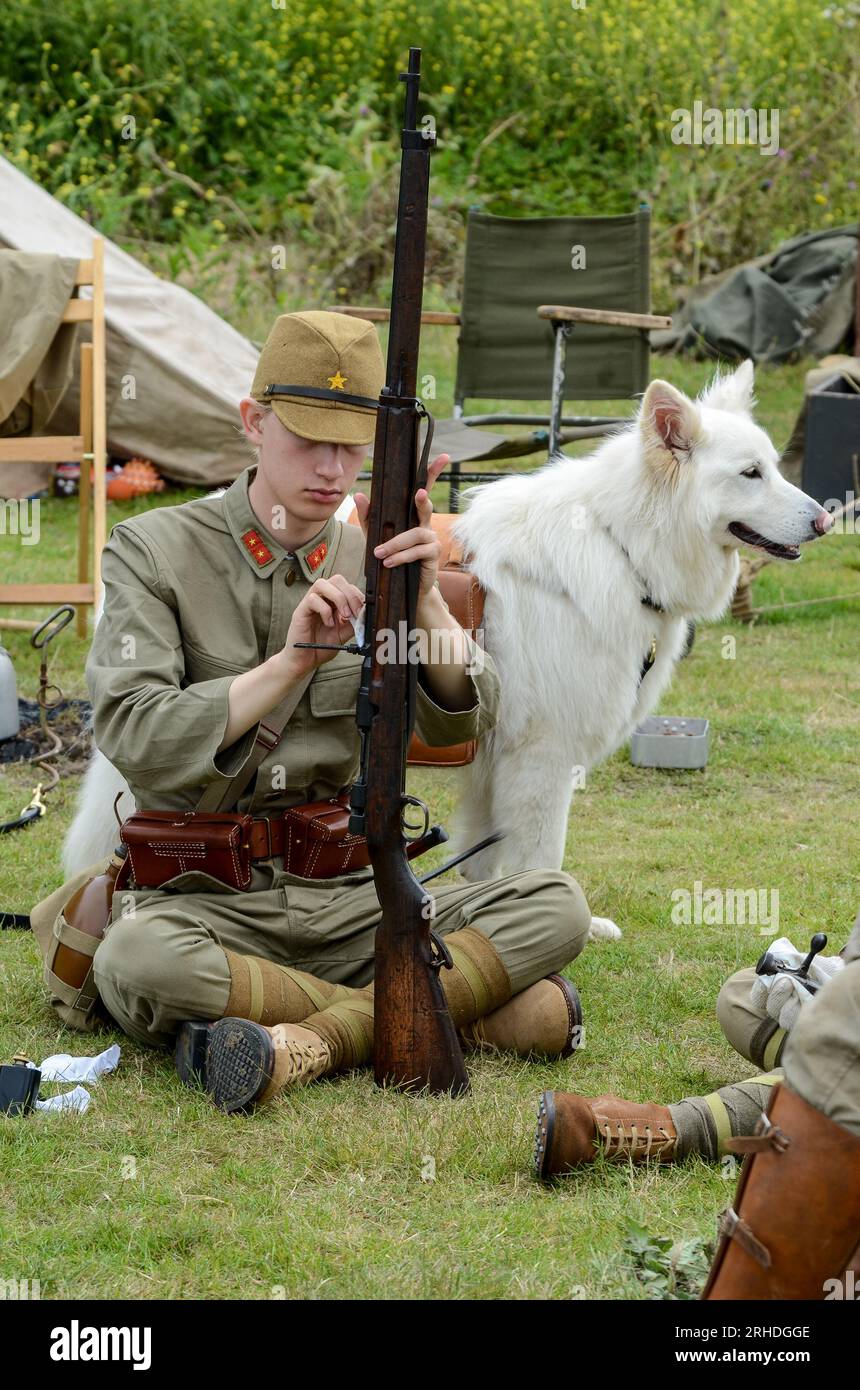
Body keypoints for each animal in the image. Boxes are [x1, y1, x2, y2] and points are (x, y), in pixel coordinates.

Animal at [450, 361, 833, 878]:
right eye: (751, 473)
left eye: (773, 467)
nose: (827, 522)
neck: (624, 549)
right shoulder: (541, 764)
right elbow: (543, 866)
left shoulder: (489, 779)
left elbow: (478, 869)